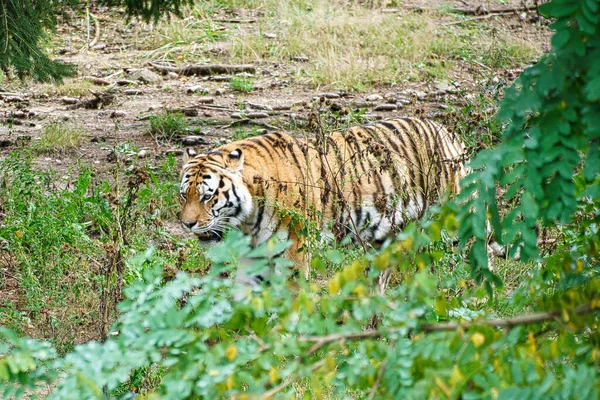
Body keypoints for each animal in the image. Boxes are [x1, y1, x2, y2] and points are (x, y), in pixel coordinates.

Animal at [178, 117, 468, 290]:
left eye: (207, 196)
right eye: (184, 195)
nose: (187, 224)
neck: (247, 220)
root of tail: (448, 132)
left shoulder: (294, 250)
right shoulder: (255, 254)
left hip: (454, 223)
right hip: (385, 239)